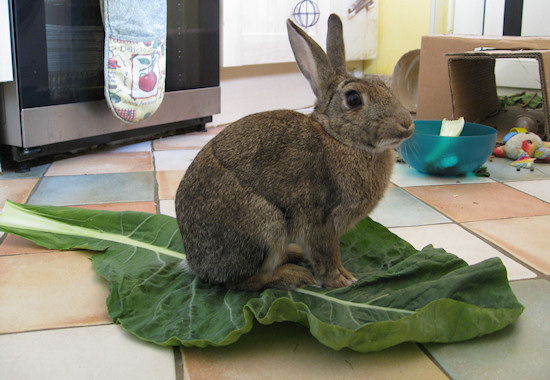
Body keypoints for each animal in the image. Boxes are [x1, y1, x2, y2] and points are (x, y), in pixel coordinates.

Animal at [177, 13, 414, 290]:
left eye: (384, 87)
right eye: (354, 99)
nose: (407, 123)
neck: (339, 139)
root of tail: (196, 264)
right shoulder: (323, 221)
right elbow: (328, 254)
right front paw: (341, 280)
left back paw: (294, 255)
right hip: (265, 224)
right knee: (243, 282)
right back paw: (294, 275)